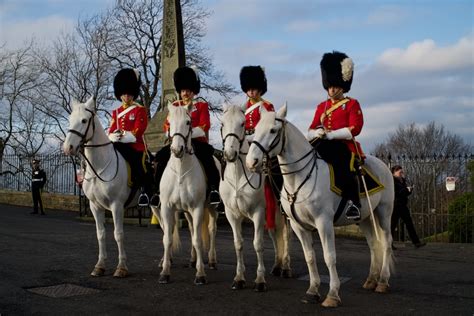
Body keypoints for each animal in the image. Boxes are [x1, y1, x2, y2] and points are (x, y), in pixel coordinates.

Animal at [63, 95, 132, 276]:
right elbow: (100, 234)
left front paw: (121, 267)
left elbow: (118, 234)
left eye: (84, 120)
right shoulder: (95, 206)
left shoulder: (117, 205)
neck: (99, 166)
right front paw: (100, 265)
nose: (67, 148)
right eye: (69, 119)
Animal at [154, 102, 217, 286]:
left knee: (211, 229)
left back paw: (211, 260)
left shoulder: (197, 208)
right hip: (187, 212)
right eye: (169, 122)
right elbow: (167, 239)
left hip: (211, 208)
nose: (177, 149)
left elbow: (197, 239)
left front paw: (200, 274)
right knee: (191, 229)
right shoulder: (167, 208)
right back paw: (192, 260)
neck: (181, 169)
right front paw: (165, 272)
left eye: (188, 122)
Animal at [219, 105, 292, 292]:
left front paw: (260, 280)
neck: (238, 175)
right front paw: (239, 278)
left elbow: (258, 244)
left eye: (242, 123)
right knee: (275, 234)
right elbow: (238, 244)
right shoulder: (232, 214)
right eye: (222, 124)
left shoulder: (258, 213)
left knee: (285, 235)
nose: (230, 153)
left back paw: (286, 268)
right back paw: (277, 266)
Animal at [246, 105, 394, 308]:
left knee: (386, 243)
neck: (299, 178)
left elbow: (329, 257)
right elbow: (310, 257)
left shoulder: (324, 223)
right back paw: (371, 279)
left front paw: (332, 294)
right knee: (373, 244)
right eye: (255, 130)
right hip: (364, 217)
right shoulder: (298, 225)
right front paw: (313, 290)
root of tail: (383, 165)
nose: (251, 162)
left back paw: (383, 281)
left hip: (384, 213)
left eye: (273, 130)